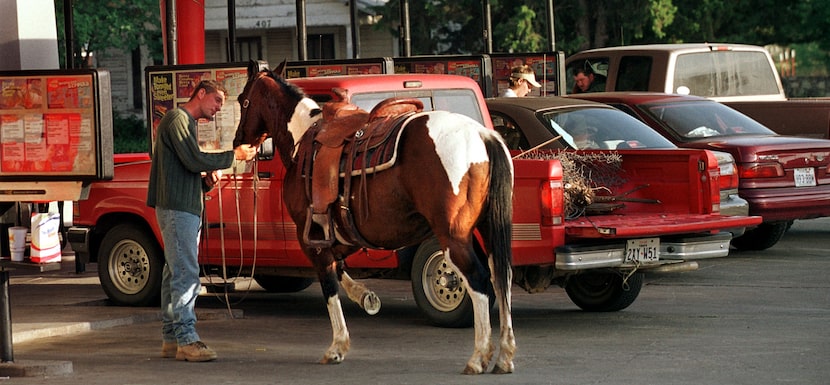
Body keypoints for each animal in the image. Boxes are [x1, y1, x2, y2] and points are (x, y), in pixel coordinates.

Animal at [234, 61, 516, 374]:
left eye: (242, 100)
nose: (238, 142)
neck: (302, 138)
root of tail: (483, 136)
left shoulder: (310, 237)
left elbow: (329, 283)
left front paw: (337, 345)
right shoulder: (342, 235)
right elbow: (340, 269)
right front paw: (364, 296)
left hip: (453, 236)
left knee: (479, 280)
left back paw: (479, 356)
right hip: (489, 229)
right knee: (502, 277)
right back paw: (504, 355)